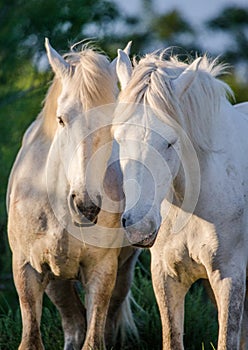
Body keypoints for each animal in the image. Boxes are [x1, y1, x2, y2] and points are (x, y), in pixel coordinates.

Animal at [7, 39, 140, 350]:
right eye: (61, 119)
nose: (85, 205)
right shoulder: (26, 268)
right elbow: (32, 338)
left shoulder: (101, 270)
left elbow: (95, 337)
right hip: (56, 278)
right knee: (73, 321)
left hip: (124, 269)